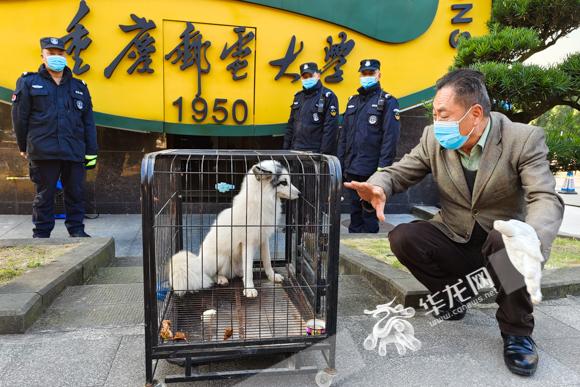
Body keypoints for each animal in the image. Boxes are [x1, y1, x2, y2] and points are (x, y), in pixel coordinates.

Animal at [170, 159, 302, 298]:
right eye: (283, 182)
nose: (300, 194)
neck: (261, 202)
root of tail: (198, 260)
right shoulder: (248, 243)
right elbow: (249, 269)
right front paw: (249, 288)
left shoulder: (264, 239)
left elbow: (267, 261)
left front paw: (272, 276)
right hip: (221, 258)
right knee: (210, 276)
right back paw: (221, 279)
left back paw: (239, 274)